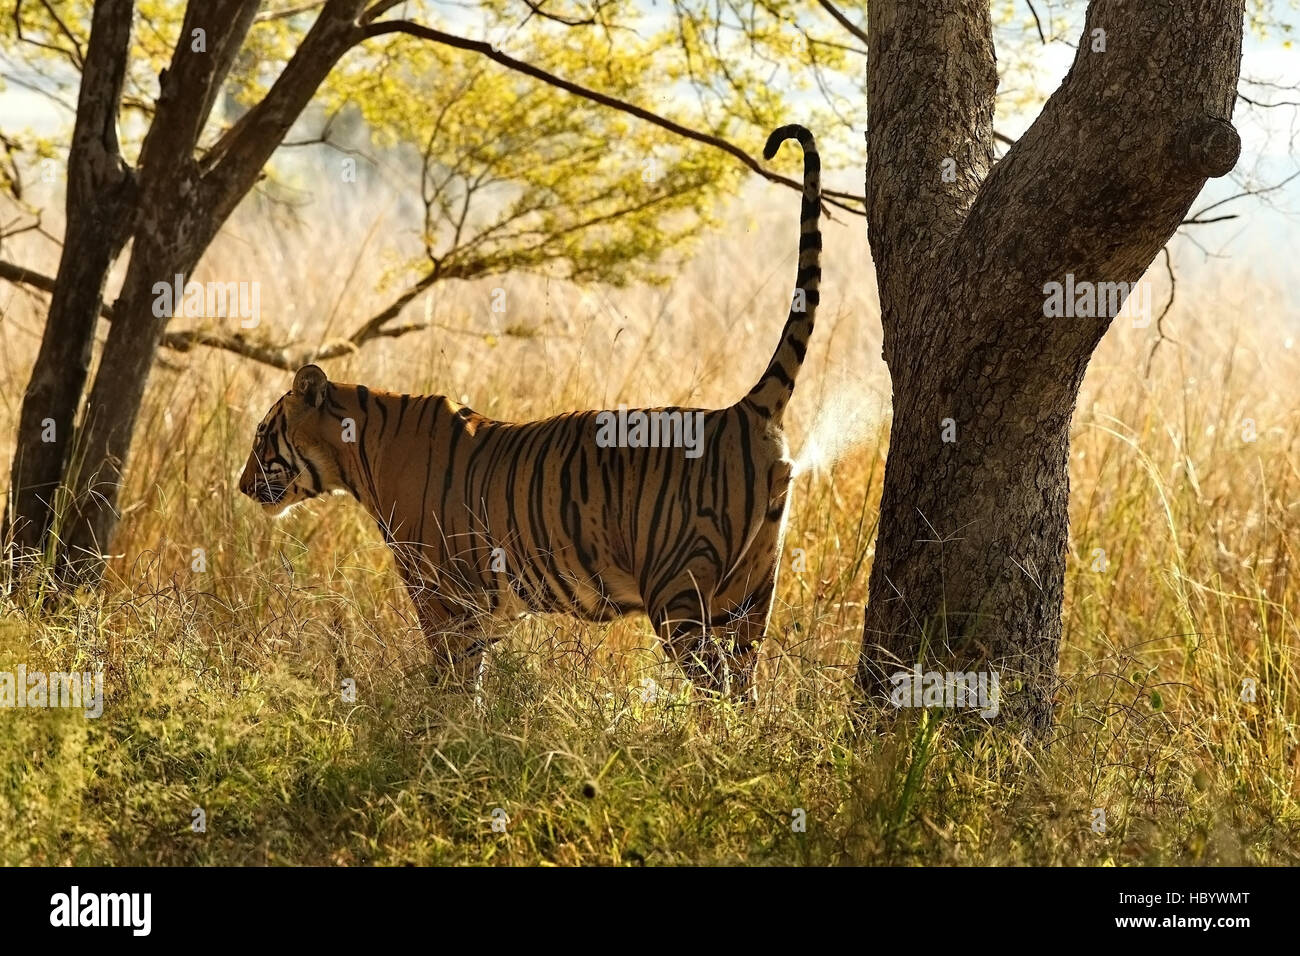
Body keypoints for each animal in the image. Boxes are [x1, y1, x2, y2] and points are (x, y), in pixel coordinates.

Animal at [239, 123, 816, 697]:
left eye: (262, 435)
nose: (242, 487)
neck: (358, 450)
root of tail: (742, 410)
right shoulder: (490, 608)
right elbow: (471, 677)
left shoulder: (441, 594)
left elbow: (449, 675)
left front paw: (437, 719)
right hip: (748, 595)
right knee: (746, 687)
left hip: (678, 593)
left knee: (717, 690)